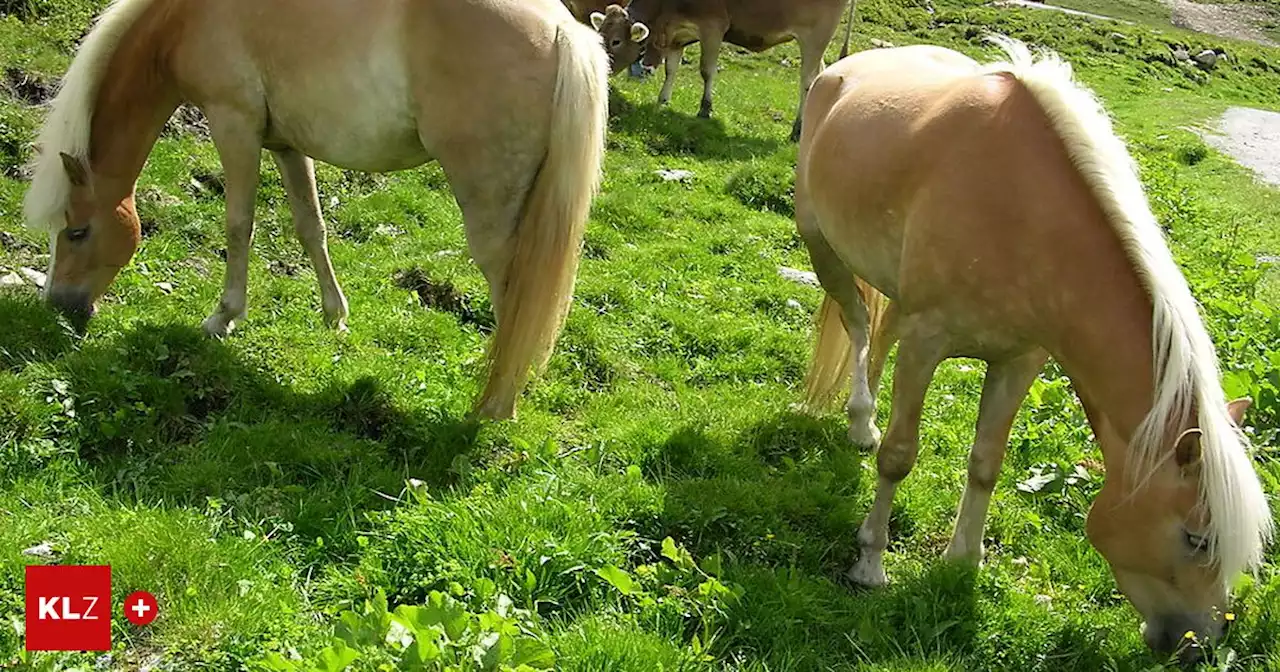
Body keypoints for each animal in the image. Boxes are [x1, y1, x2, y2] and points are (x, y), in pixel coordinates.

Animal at [22, 0, 611, 419]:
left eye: (76, 231)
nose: (59, 306)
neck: (186, 18)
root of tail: (564, 29)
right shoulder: (285, 144)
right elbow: (311, 226)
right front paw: (335, 316)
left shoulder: (233, 123)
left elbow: (238, 225)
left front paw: (222, 318)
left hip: (490, 210)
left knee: (513, 292)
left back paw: (495, 404)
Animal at [798, 37, 1269, 660]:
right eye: (1196, 537)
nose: (1200, 645)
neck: (1018, 209)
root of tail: (846, 66)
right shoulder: (927, 343)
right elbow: (899, 456)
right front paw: (870, 563)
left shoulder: (1019, 361)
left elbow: (985, 465)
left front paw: (962, 565)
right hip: (821, 247)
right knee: (856, 326)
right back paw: (859, 419)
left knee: (877, 335)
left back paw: (863, 424)